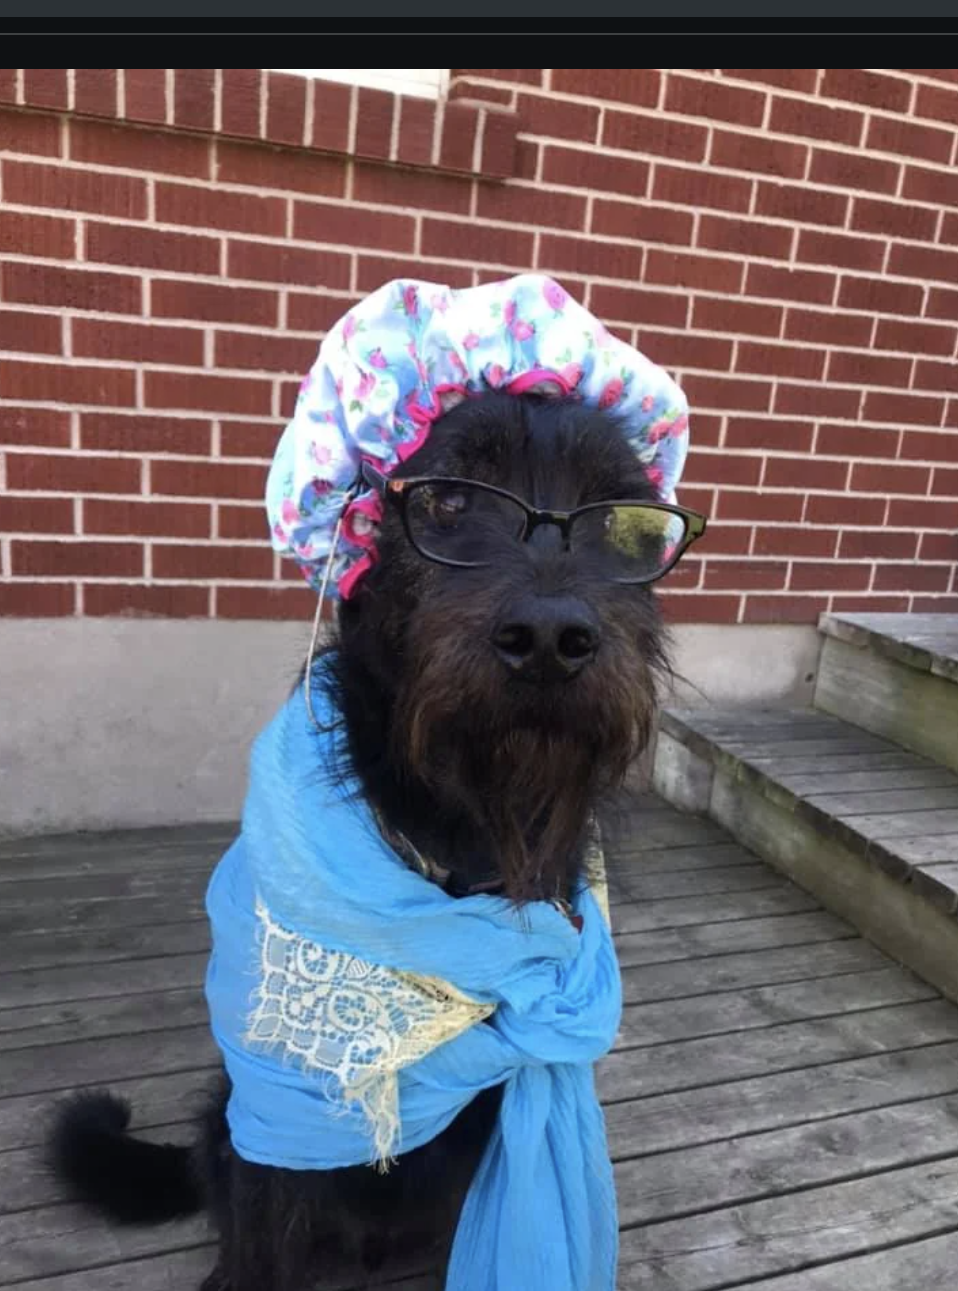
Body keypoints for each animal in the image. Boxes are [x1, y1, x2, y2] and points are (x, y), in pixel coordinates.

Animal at [46, 389, 676, 1291]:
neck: (469, 843)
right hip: (227, 1115)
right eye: (448, 498)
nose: (551, 640)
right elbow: (261, 1243)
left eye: (625, 520)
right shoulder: (278, 1123)